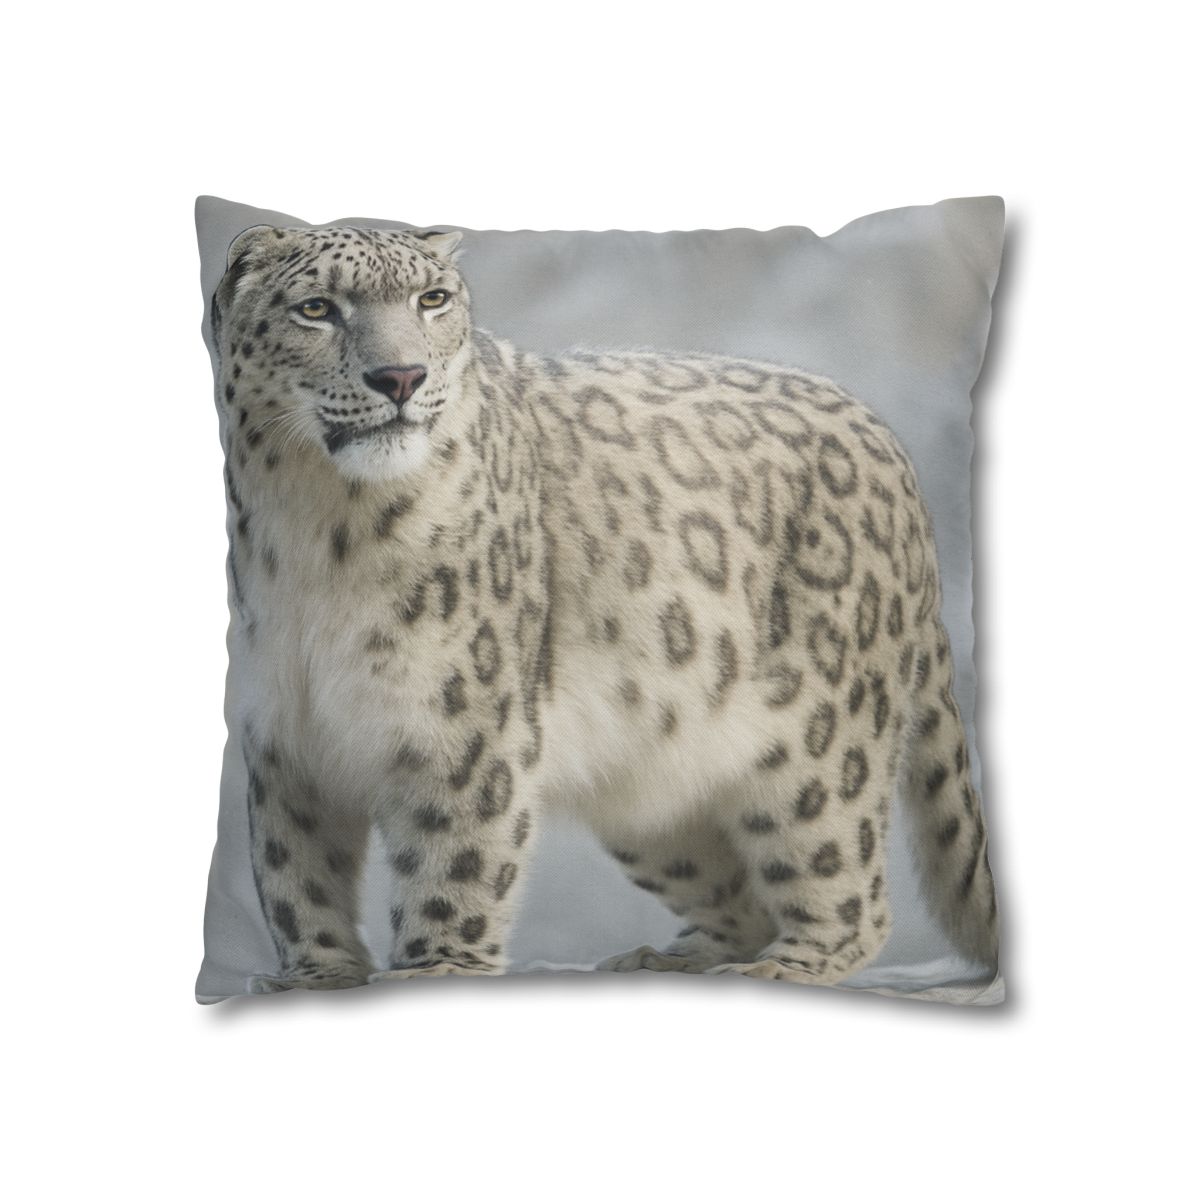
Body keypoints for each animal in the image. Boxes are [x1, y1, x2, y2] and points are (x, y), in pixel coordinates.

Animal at [210, 223, 998, 993]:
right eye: (316, 308)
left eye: (432, 299)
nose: (401, 376)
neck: (318, 531)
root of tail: (888, 444)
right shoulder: (284, 735)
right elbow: (294, 872)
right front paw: (317, 976)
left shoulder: (461, 725)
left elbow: (453, 861)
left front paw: (437, 969)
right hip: (651, 796)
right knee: (735, 893)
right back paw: (668, 958)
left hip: (821, 748)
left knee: (844, 882)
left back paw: (785, 966)